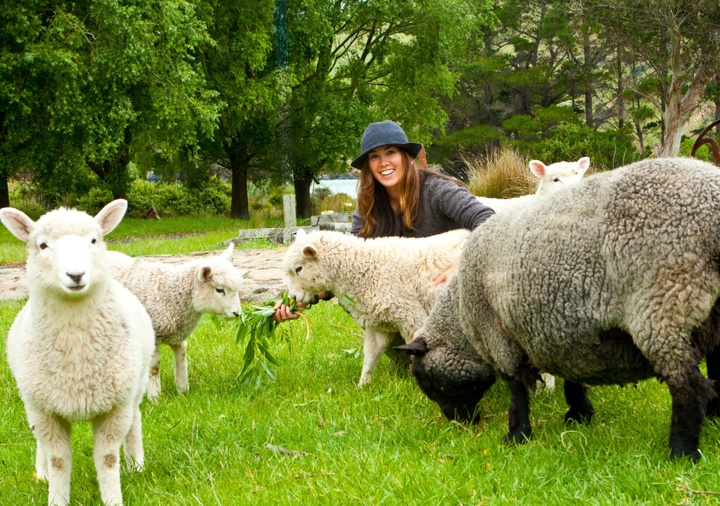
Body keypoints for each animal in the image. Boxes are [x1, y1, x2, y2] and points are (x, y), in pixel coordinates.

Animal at [0, 200, 155, 505]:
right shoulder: (44, 410)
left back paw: (136, 466)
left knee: (136, 420)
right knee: (40, 443)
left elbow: (107, 459)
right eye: (42, 245)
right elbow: (59, 460)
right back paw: (41, 473)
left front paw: (113, 499)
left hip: (136, 384)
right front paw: (56, 497)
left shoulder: (115, 407)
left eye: (94, 240)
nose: (76, 275)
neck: (76, 363)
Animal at [107, 244, 244, 402]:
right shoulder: (154, 334)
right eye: (219, 290)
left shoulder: (178, 336)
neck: (170, 294)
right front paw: (155, 398)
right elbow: (154, 367)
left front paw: (183, 391)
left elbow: (182, 358)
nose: (237, 313)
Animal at [282, 227, 470, 386]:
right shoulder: (379, 324)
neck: (366, 267)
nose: (293, 298)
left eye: (298, 268)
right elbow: (370, 355)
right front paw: (363, 385)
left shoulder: (411, 315)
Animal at [396, 158, 720, 461]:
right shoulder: (565, 329)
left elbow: (516, 391)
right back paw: (715, 419)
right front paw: (579, 415)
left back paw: (682, 452)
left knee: (688, 387)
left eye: (427, 382)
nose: (457, 422)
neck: (462, 316)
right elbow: (573, 378)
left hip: (664, 302)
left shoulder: (499, 336)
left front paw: (517, 435)